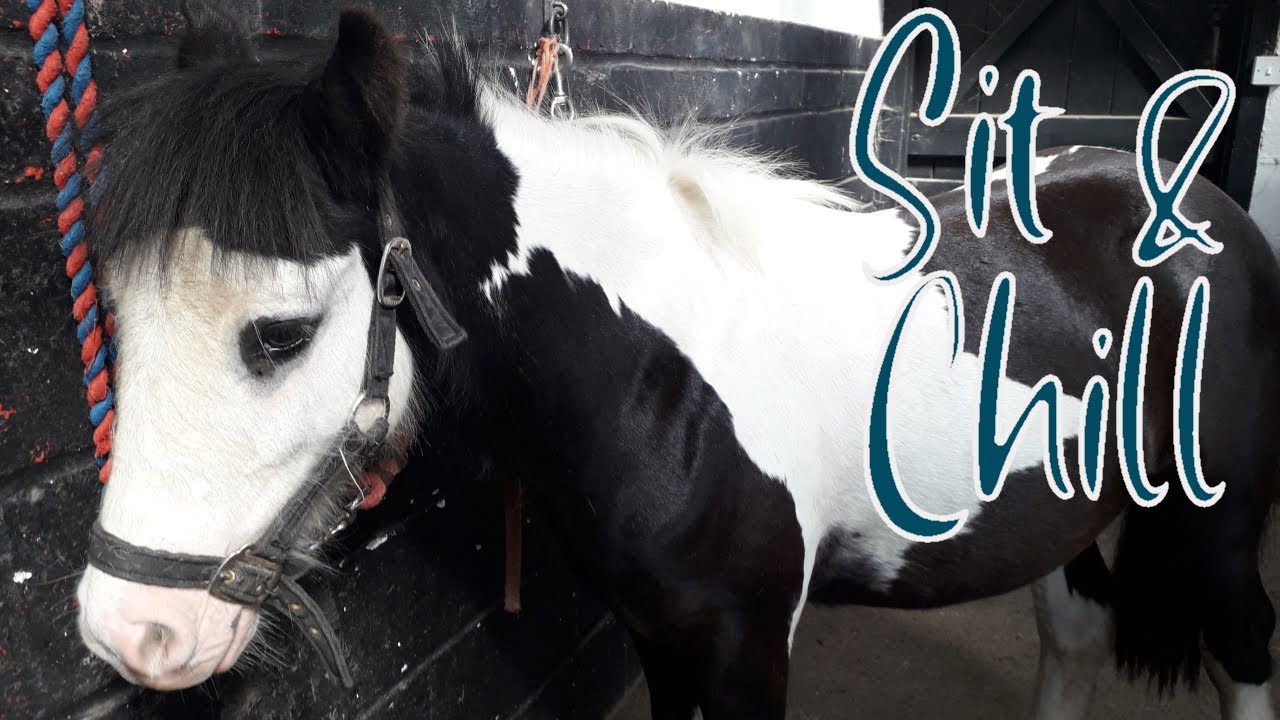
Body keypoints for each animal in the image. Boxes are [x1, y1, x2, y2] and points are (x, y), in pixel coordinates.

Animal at [73, 7, 1280, 719]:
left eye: (278, 333)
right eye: (120, 315)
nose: (133, 634)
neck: (671, 374)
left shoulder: (745, 645)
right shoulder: (661, 636)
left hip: (1216, 525)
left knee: (1243, 643)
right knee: (1075, 635)